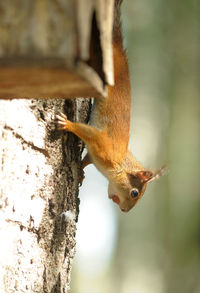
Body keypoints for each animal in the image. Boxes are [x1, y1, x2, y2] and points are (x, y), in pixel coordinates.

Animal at [55, 0, 166, 210]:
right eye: (134, 193)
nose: (123, 210)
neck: (119, 164)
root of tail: (118, 48)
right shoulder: (103, 145)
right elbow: (86, 132)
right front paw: (68, 124)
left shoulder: (95, 155)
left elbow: (85, 160)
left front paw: (81, 173)